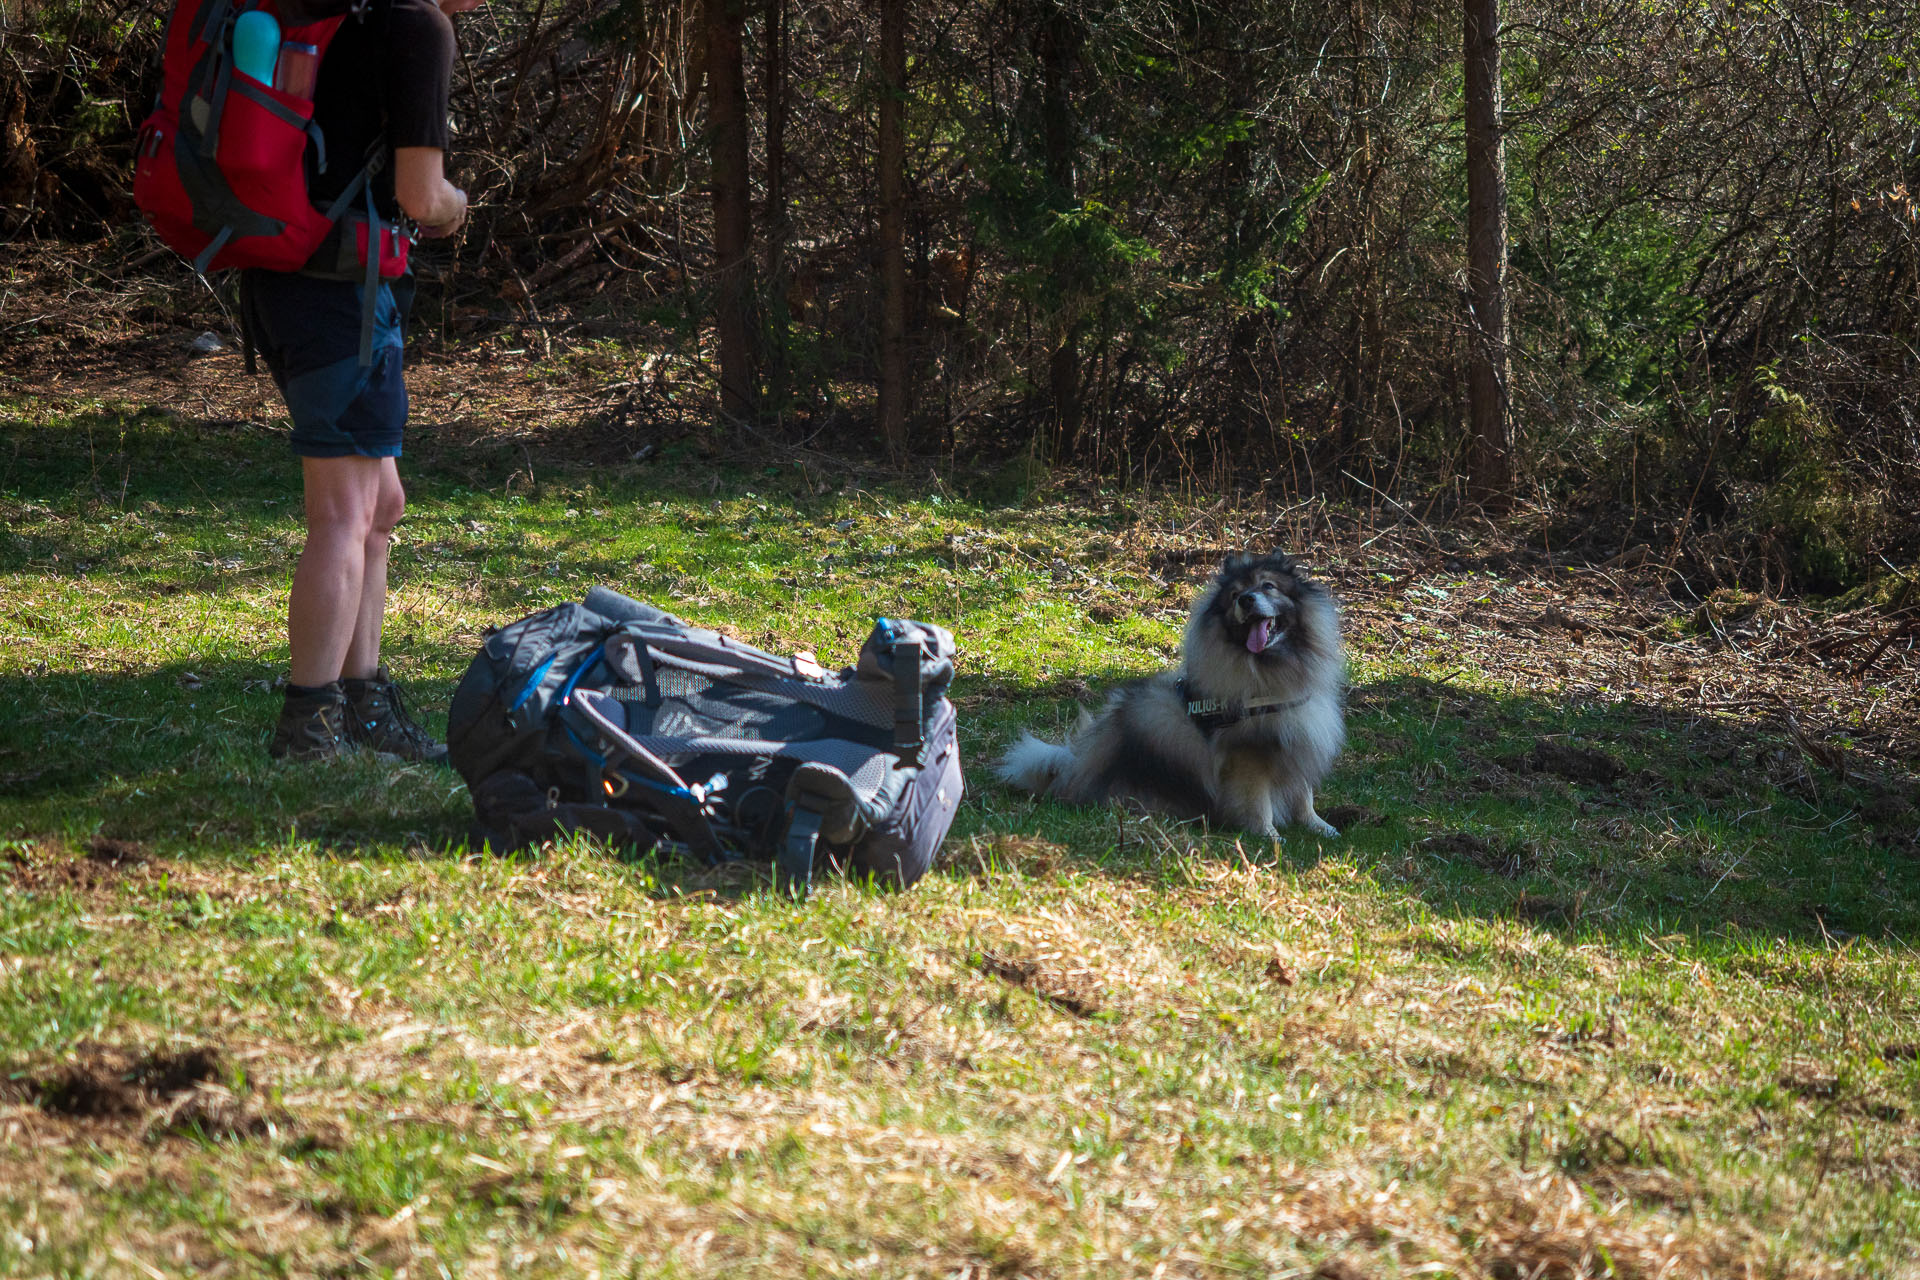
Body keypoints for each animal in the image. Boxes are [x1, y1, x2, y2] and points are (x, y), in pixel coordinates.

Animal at [998, 552, 1344, 840]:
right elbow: (1257, 803)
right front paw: (1269, 836)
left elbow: (1303, 797)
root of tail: (1074, 768)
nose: (1246, 599)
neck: (1274, 667)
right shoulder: (1249, 756)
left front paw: (1321, 828)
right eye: (1235, 595)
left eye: (1268, 586)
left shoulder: (1300, 739)